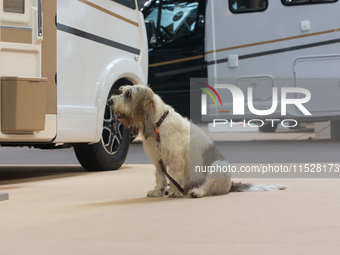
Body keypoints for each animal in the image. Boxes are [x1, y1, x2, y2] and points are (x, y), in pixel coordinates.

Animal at [107, 84, 288, 198]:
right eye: (122, 91)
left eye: (128, 95)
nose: (109, 101)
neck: (159, 123)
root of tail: (231, 184)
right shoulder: (159, 161)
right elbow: (160, 178)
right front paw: (158, 191)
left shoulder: (176, 160)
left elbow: (174, 175)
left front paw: (174, 192)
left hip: (219, 166)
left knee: (208, 188)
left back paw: (197, 192)